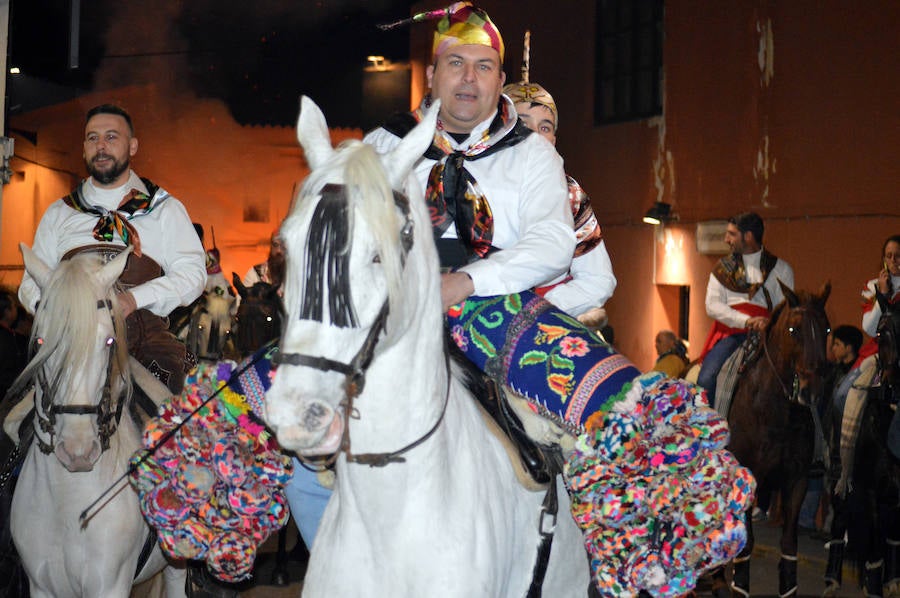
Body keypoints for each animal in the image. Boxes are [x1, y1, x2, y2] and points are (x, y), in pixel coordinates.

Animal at [11, 245, 185, 598]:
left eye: (108, 342)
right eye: (41, 343)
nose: (77, 452)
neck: (70, 503)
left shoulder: (109, 585)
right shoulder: (42, 586)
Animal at [712, 282, 828, 598]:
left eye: (826, 329)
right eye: (793, 330)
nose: (812, 392)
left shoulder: (796, 480)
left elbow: (789, 544)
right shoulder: (749, 479)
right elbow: (747, 543)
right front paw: (739, 586)